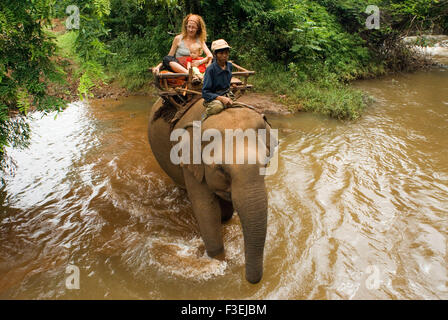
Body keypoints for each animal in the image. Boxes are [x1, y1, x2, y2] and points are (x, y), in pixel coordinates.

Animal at [147, 97, 276, 282]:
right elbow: (206, 210)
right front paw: (218, 261)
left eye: (266, 162)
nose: (250, 280)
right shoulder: (191, 163)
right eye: (221, 169)